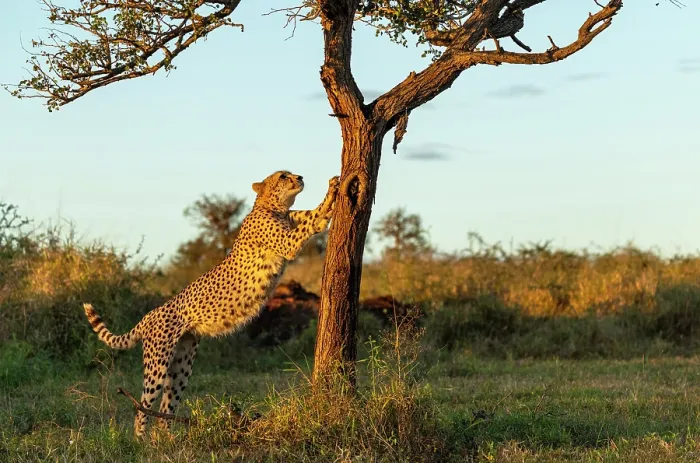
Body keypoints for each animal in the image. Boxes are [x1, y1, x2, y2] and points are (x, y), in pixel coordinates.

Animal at [83, 170, 340, 437]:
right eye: (282, 176)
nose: (299, 177)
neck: (272, 206)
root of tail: (149, 314)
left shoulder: (294, 219)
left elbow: (314, 216)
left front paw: (333, 191)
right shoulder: (288, 243)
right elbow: (310, 224)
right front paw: (331, 194)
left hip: (182, 363)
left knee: (165, 408)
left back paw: (166, 441)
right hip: (158, 362)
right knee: (142, 405)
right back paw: (140, 440)